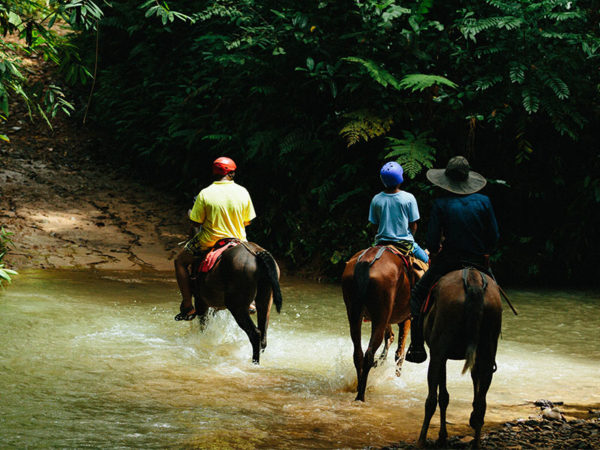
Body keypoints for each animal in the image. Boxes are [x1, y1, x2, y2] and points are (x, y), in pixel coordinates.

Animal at [340, 248, 414, 402]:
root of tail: (366, 261)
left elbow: (390, 337)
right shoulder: (406, 318)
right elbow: (400, 352)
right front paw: (396, 376)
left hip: (354, 313)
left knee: (358, 354)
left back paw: (359, 387)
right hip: (380, 314)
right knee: (369, 354)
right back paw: (361, 395)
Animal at [414, 268, 504, 448]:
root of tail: (473, 279)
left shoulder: (440, 354)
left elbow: (442, 397)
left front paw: (442, 437)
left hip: (438, 351)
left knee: (431, 400)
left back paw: (421, 440)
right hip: (487, 351)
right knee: (481, 403)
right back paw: (476, 443)